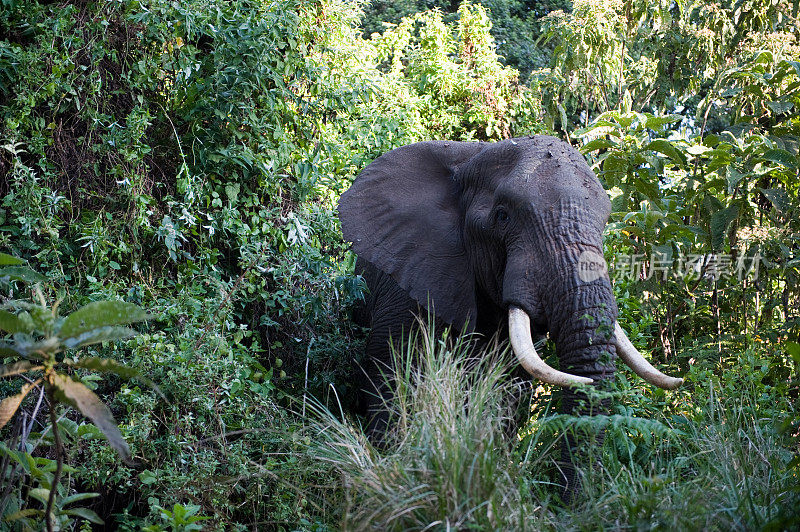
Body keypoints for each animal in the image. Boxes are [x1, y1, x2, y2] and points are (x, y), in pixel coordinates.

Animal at [338, 135, 680, 492]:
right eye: (502, 217)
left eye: (603, 224)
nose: (561, 499)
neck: (469, 158)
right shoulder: (410, 278)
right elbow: (394, 378)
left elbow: (508, 392)